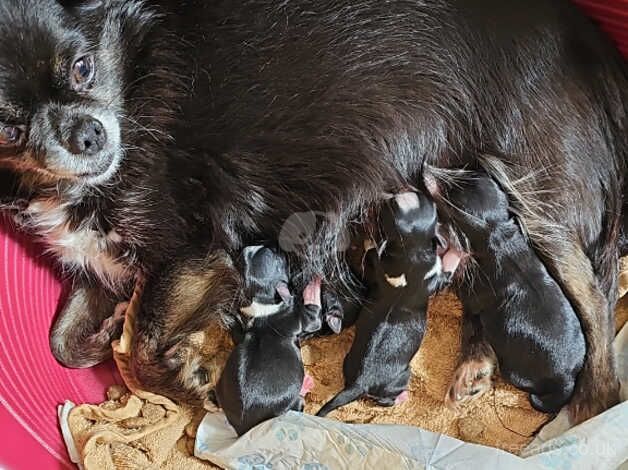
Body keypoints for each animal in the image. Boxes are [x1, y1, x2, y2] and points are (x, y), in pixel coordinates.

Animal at [217, 248, 324, 436]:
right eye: (278, 256)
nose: (279, 247)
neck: (263, 302)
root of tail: (243, 427)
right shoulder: (304, 318)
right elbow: (315, 314)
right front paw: (313, 286)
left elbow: (237, 332)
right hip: (292, 404)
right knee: (299, 404)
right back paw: (306, 386)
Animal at [316, 193, 454, 416]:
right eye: (430, 206)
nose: (388, 195)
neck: (410, 252)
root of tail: (361, 382)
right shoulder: (434, 279)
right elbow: (444, 273)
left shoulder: (379, 260)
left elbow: (372, 253)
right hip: (402, 376)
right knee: (385, 400)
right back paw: (400, 399)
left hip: (348, 363)